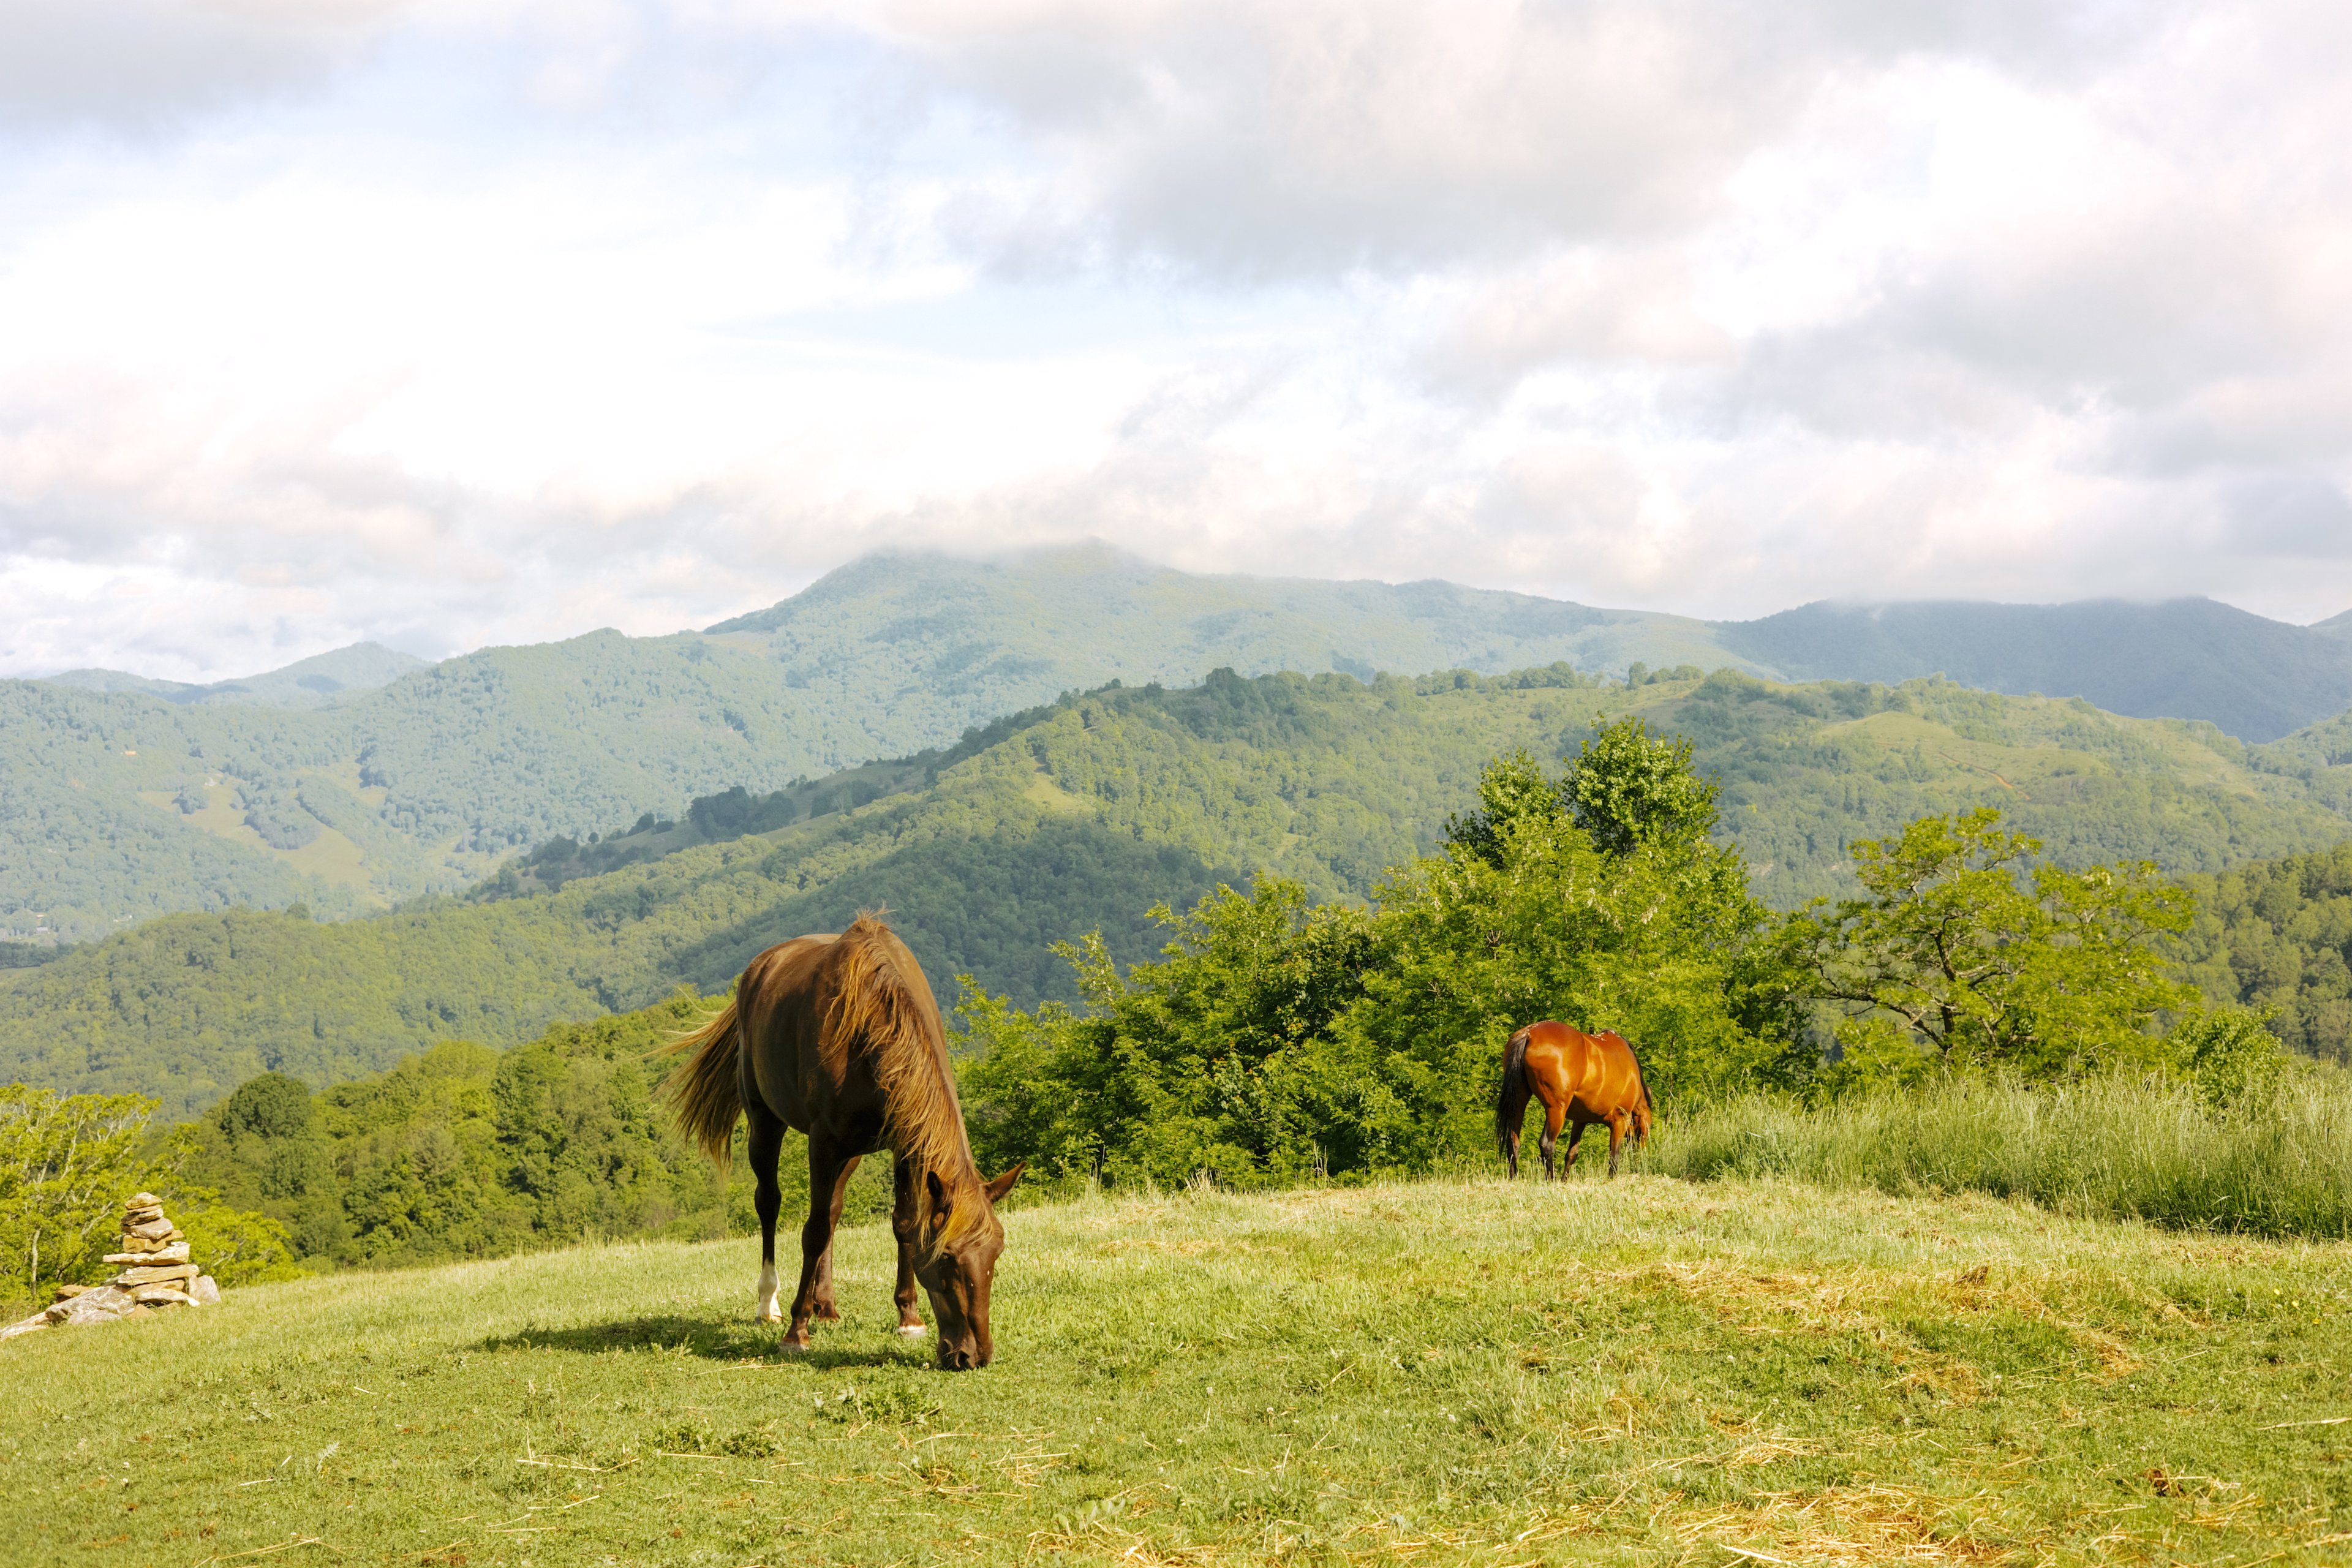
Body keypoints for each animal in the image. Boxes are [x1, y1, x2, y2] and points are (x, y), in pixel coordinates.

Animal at [659, 915, 1023, 1369]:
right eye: (947, 1259)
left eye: (996, 1253)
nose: (971, 1356)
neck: (869, 1021)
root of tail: (759, 968)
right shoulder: (823, 1142)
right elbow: (812, 1231)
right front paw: (796, 1331)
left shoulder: (903, 1144)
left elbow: (903, 1223)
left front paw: (909, 1317)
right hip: (765, 1122)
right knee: (770, 1204)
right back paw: (769, 1304)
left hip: (850, 1153)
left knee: (832, 1209)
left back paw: (826, 1305)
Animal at [1494, 1020, 1653, 1179]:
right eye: (1648, 1125)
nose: (1640, 1154)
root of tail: (1529, 1034)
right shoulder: (1620, 1120)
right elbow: (1614, 1157)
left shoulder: (1580, 1120)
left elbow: (1572, 1154)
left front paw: (1564, 1180)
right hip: (1556, 1109)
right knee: (1547, 1144)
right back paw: (1550, 1179)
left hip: (1519, 1101)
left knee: (1513, 1143)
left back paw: (1514, 1177)